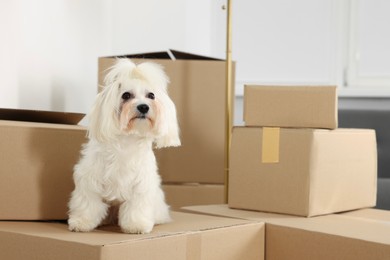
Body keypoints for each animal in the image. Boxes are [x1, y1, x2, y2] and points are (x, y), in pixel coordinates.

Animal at [68, 58, 181, 234]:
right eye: (126, 95)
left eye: (151, 95)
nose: (143, 106)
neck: (128, 139)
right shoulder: (90, 180)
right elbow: (88, 202)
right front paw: (81, 222)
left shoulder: (141, 185)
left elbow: (136, 206)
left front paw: (137, 225)